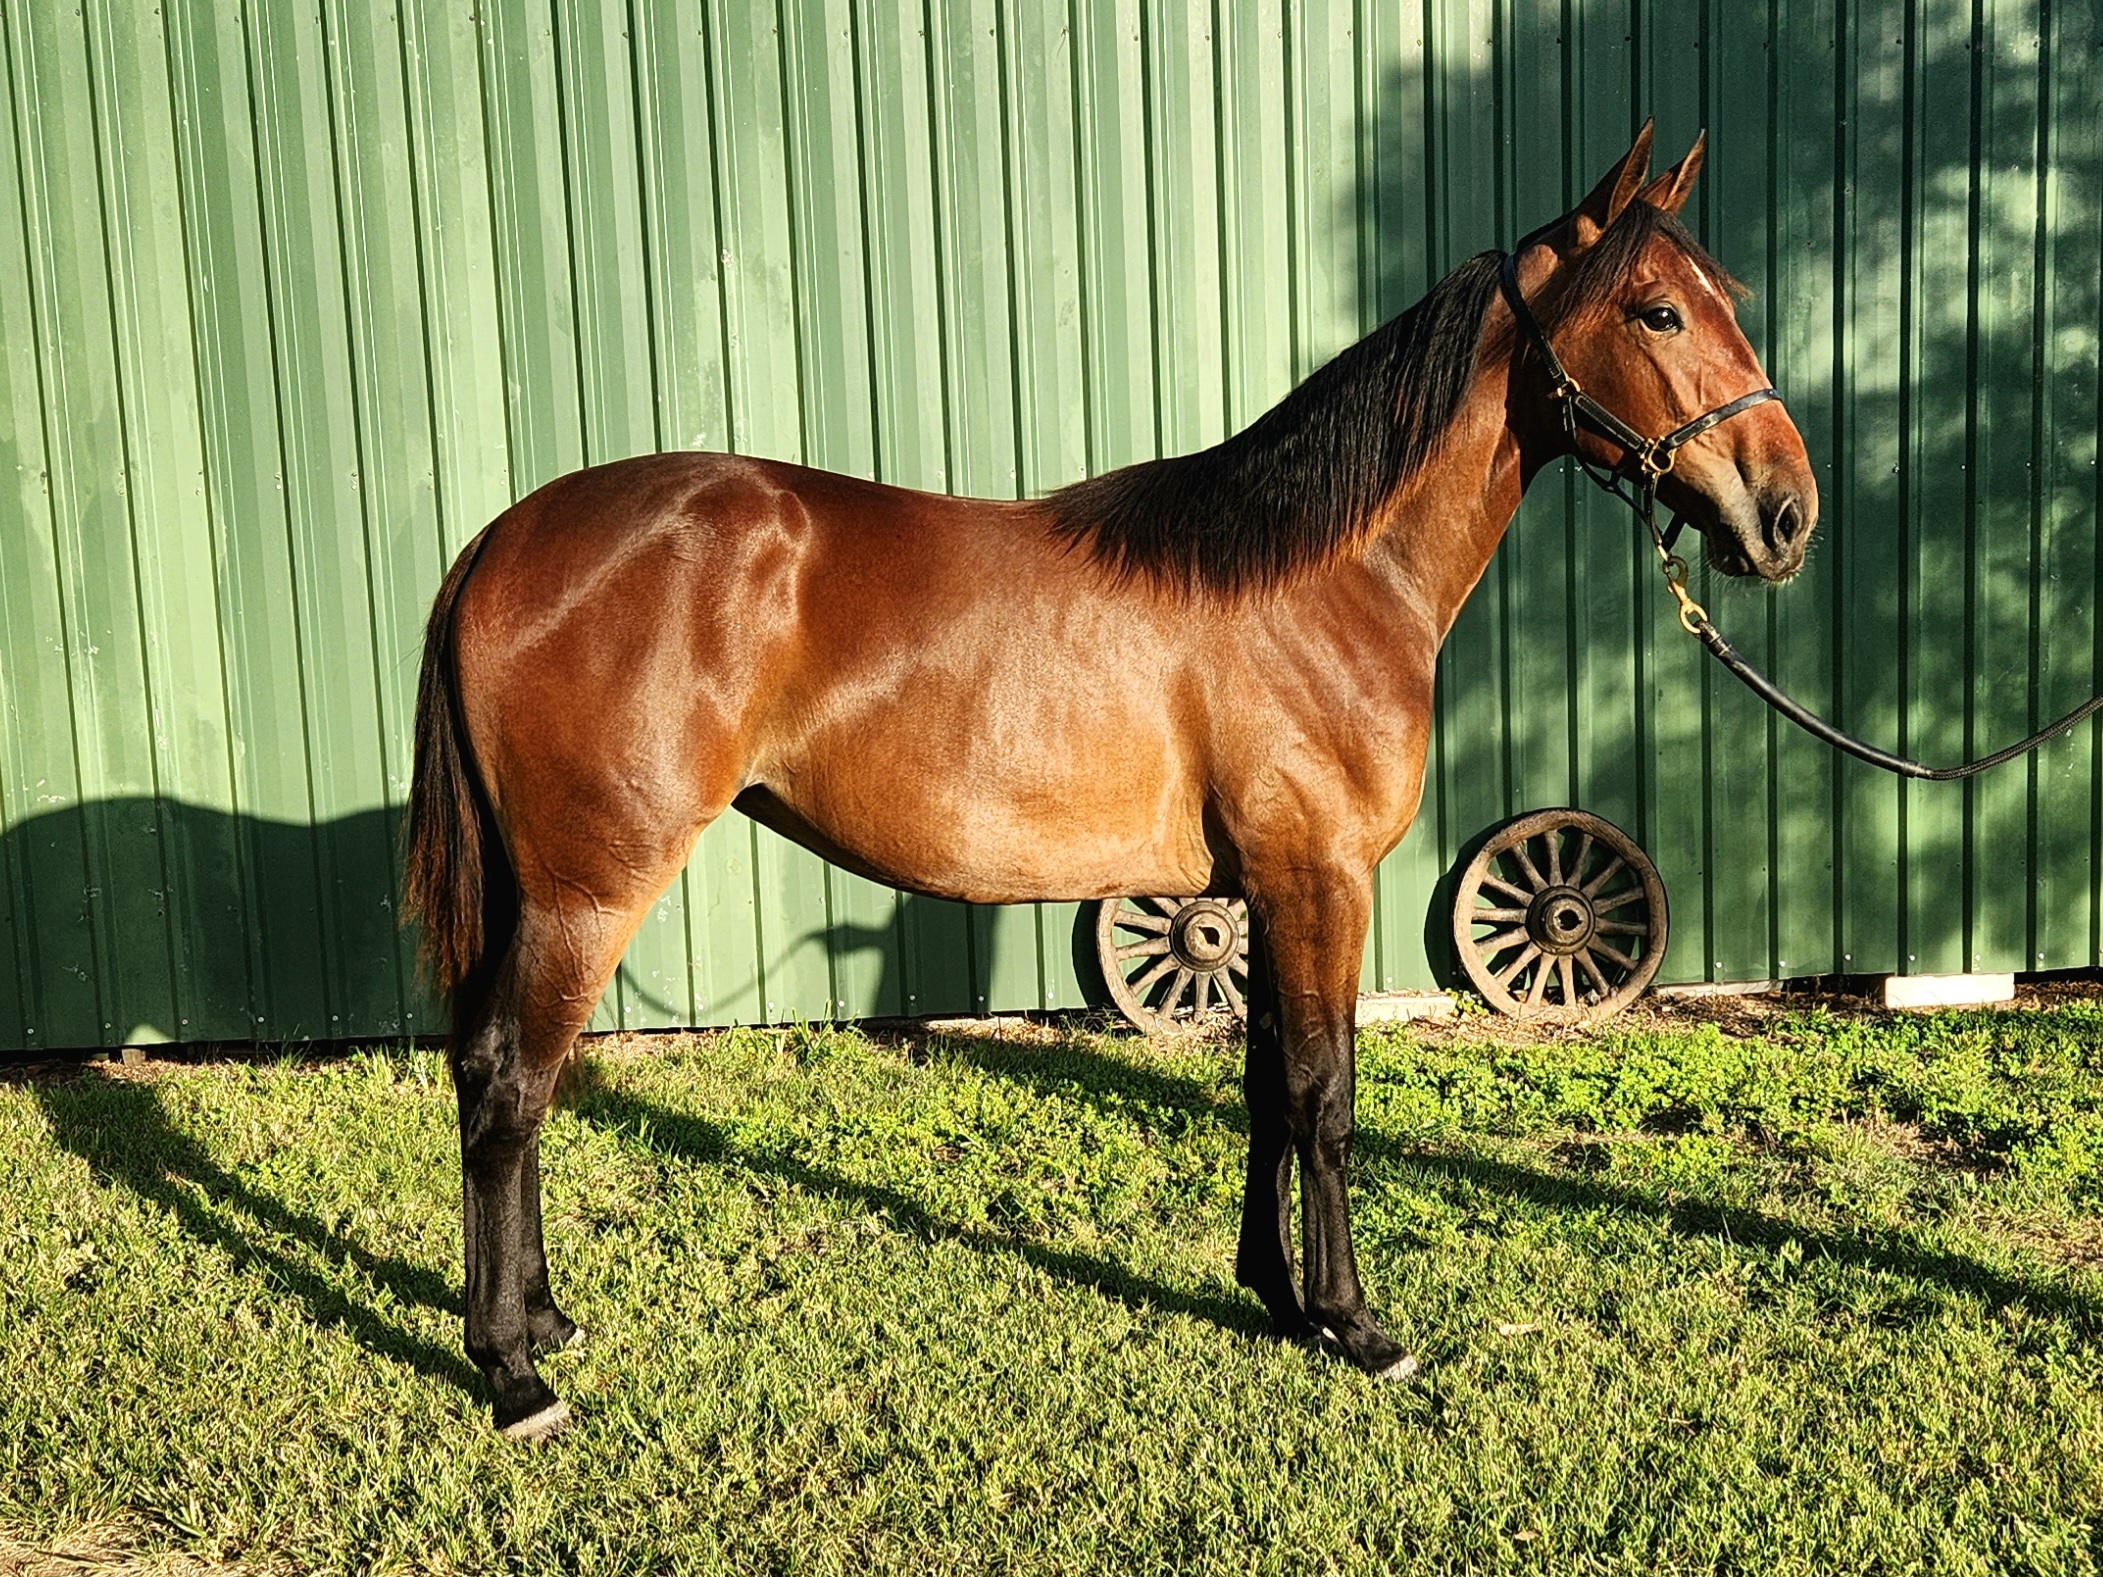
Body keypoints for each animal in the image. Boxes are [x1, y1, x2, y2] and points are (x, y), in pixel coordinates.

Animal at [405, 124, 1818, 1439]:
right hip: (590, 889)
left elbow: (1266, 1088)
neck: (1322, 575)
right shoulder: (1323, 880)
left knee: (496, 1074)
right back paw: (515, 1369)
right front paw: (1357, 1323)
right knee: (513, 1085)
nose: (1786, 513)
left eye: (1728, 296)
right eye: (1657, 309)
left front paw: (1277, 1296)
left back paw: (542, 1321)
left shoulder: (1264, 888)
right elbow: (1326, 1096)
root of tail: (501, 541)